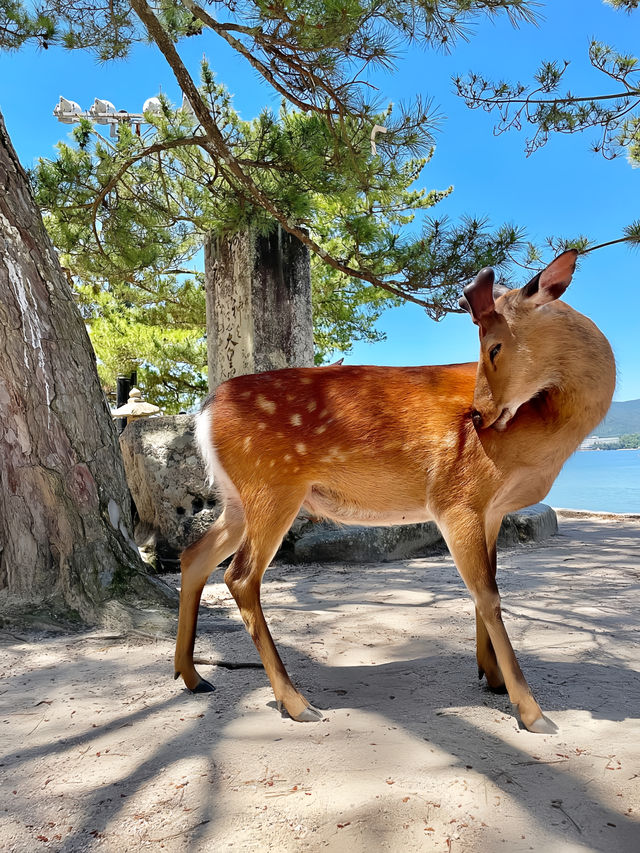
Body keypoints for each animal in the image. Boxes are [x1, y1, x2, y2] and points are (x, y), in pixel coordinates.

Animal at [175, 251, 616, 732]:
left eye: (493, 345)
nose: (477, 416)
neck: (541, 440)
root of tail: (206, 411)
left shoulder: (492, 508)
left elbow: (490, 585)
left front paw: (493, 677)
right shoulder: (455, 497)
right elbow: (488, 594)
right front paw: (531, 710)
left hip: (239, 499)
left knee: (194, 556)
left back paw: (193, 677)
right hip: (272, 486)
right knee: (239, 576)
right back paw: (296, 702)